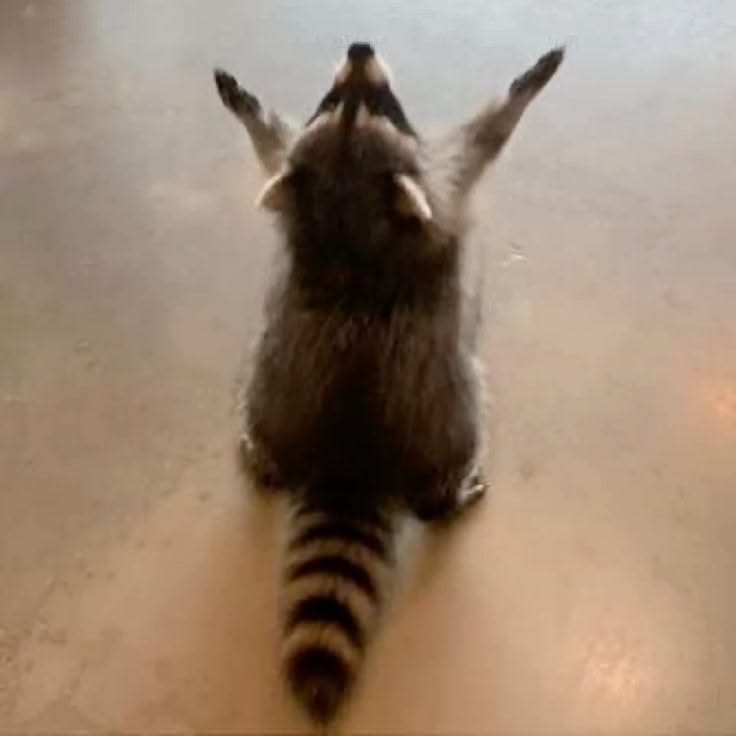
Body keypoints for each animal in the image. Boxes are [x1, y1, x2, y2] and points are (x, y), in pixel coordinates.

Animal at [214, 42, 563, 724]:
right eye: (338, 100)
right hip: (452, 409)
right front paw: (526, 87)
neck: (349, 231)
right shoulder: (444, 183)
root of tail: (353, 454)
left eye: (376, 104)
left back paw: (265, 456)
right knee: (455, 452)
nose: (359, 48)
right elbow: (487, 136)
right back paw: (448, 497)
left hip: (270, 381)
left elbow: (274, 152)